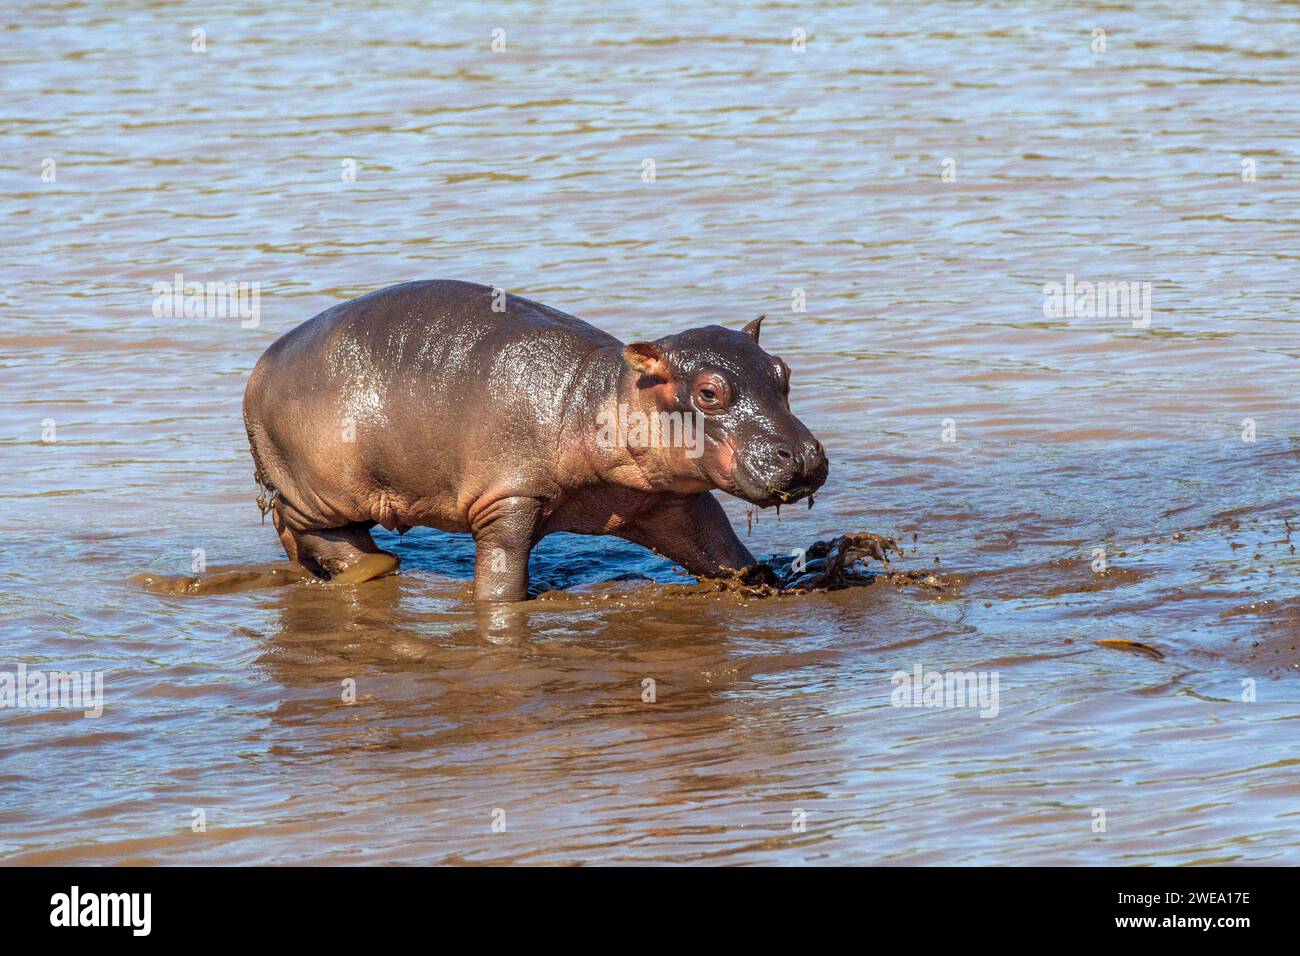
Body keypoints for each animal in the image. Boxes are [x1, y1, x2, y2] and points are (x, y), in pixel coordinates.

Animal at [242, 280, 829, 601]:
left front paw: (770, 581)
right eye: (708, 392)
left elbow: (724, 552)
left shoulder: (668, 501)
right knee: (312, 529)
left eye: (782, 371)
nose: (802, 455)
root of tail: (261, 366)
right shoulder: (509, 497)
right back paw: (373, 564)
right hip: (321, 488)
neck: (603, 395)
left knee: (293, 536)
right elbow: (500, 580)